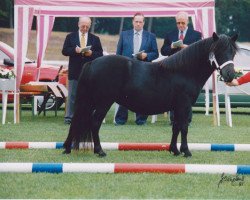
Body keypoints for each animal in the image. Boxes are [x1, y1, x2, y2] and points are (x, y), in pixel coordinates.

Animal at [63, 32, 238, 158]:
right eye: (218, 51)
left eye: (233, 53)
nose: (230, 75)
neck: (183, 71)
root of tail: (92, 63)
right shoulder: (184, 105)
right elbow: (183, 127)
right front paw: (186, 151)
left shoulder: (177, 107)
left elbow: (175, 127)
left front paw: (174, 150)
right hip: (102, 102)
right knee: (94, 123)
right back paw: (99, 151)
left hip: (89, 102)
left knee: (77, 121)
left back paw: (67, 148)